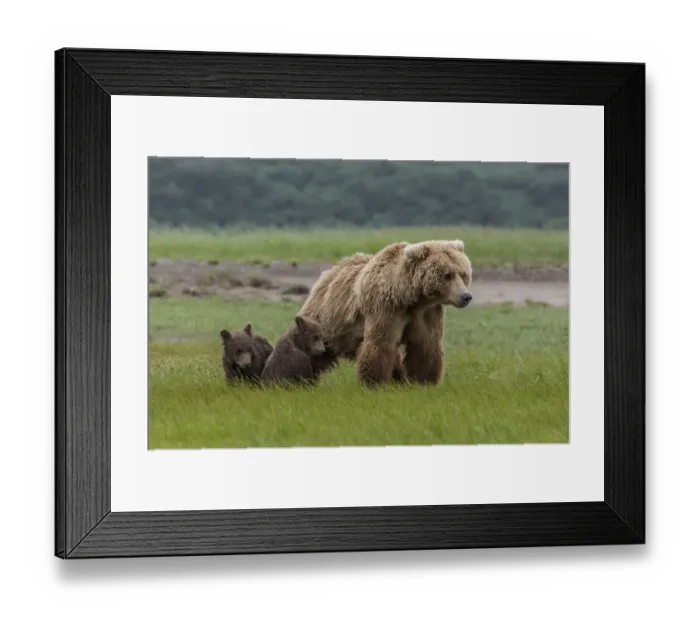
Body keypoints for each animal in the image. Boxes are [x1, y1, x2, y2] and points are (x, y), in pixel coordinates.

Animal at [298, 239, 473, 386]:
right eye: (448, 275)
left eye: (463, 274)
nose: (466, 296)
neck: (408, 297)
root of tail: (330, 271)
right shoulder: (385, 308)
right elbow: (381, 344)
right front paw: (375, 382)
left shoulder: (427, 312)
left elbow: (426, 344)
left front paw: (424, 380)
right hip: (327, 320)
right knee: (316, 346)